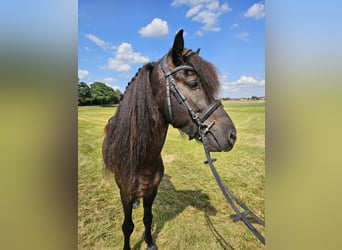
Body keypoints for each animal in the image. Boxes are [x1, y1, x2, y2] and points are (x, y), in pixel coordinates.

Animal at [101, 29, 235, 250]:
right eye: (194, 83)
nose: (232, 135)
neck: (142, 160)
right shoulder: (125, 194)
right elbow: (127, 226)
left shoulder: (151, 192)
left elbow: (148, 218)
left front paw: (150, 243)